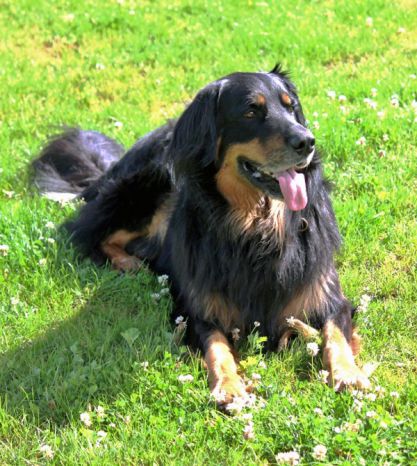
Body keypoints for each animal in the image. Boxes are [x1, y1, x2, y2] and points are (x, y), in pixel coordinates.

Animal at [32, 65, 370, 408]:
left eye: (291, 107)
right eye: (251, 111)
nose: (307, 141)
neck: (258, 226)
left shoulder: (328, 295)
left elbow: (335, 335)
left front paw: (348, 374)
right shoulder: (195, 309)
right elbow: (217, 347)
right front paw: (229, 386)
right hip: (146, 184)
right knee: (87, 233)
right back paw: (131, 264)